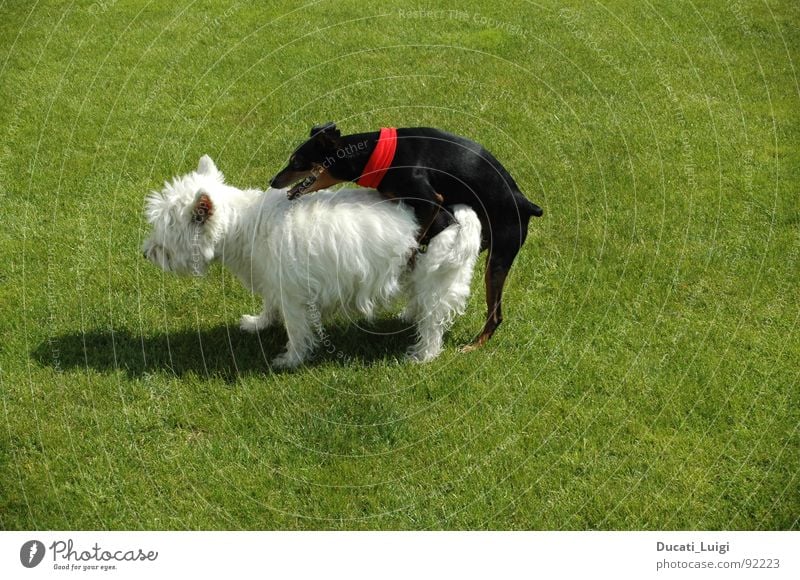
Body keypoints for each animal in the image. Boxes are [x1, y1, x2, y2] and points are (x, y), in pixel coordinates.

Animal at [270, 122, 544, 348]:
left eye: (296, 162)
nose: (273, 181)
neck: (371, 155)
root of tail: (525, 203)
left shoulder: (433, 202)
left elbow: (418, 237)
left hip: (498, 258)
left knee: (496, 314)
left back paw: (475, 345)